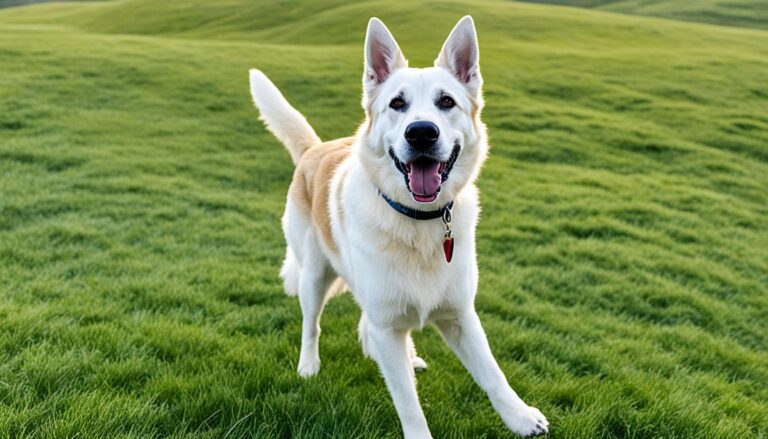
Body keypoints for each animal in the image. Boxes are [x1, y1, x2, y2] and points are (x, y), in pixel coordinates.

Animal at [249, 15, 548, 438]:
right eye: (397, 104)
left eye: (446, 102)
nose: (421, 132)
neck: (417, 220)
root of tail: (315, 149)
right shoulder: (386, 321)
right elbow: (409, 403)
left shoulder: (460, 314)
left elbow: (493, 374)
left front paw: (520, 416)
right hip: (314, 275)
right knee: (312, 323)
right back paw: (309, 365)